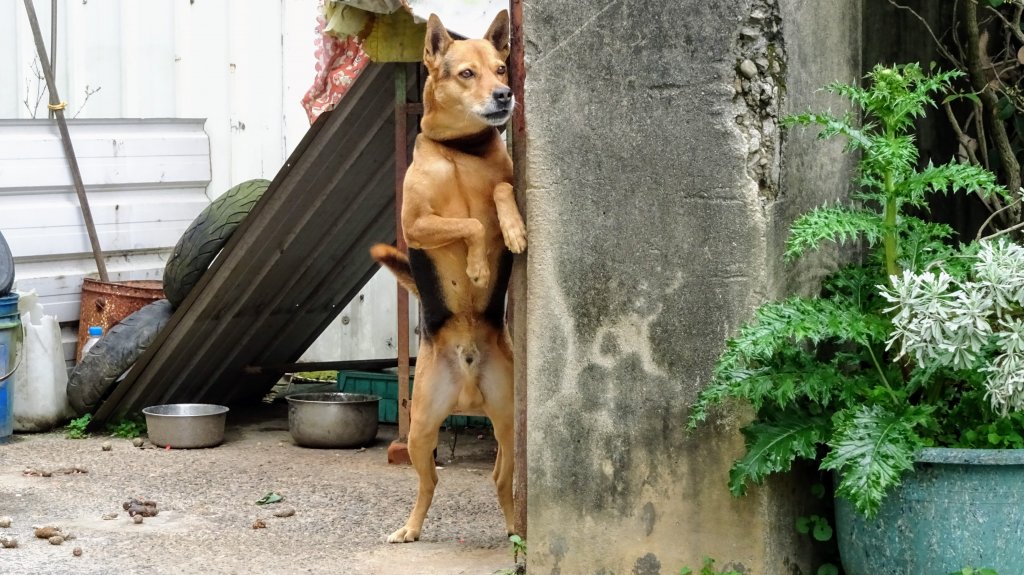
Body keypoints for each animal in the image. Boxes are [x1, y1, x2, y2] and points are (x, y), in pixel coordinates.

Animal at [370, 7, 528, 540]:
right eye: (466, 74)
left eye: (501, 69)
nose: (505, 95)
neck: (461, 150)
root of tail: (467, 388)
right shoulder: (414, 227)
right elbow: (469, 223)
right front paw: (476, 266)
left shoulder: (502, 187)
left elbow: (497, 198)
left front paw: (514, 232)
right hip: (420, 429)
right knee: (429, 483)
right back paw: (410, 528)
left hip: (508, 421)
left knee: (501, 481)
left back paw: (515, 532)